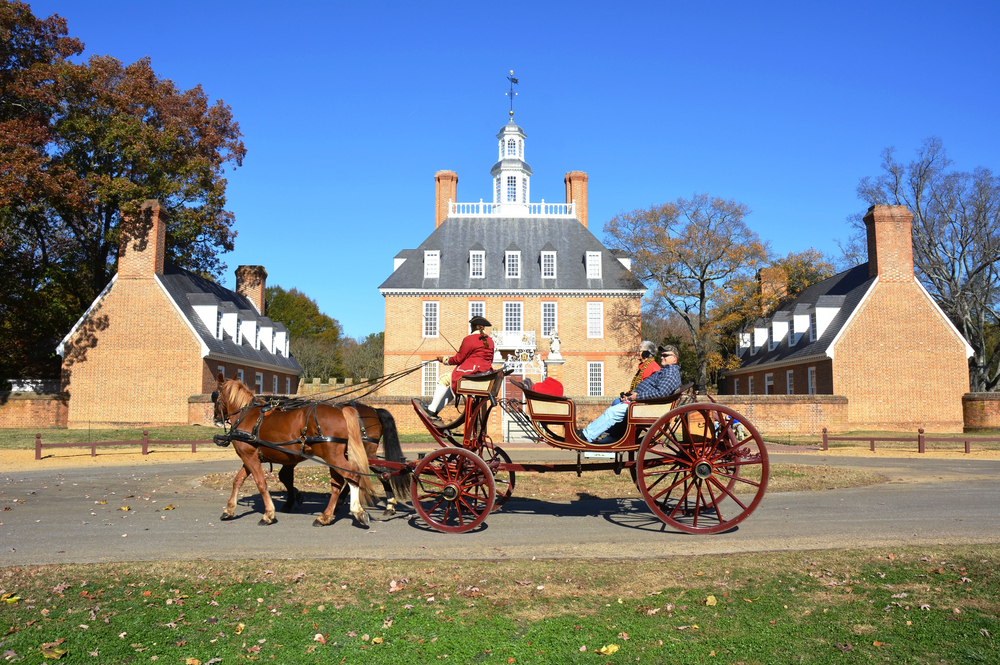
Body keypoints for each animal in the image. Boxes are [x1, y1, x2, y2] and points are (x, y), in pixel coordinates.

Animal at [214, 376, 406, 528]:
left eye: (214, 395)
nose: (216, 418)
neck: (248, 416)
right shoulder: (252, 457)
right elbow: (238, 480)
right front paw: (229, 510)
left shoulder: (251, 456)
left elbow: (262, 483)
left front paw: (269, 514)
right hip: (338, 456)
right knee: (344, 481)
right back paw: (330, 514)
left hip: (340, 455)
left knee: (359, 475)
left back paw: (361, 509)